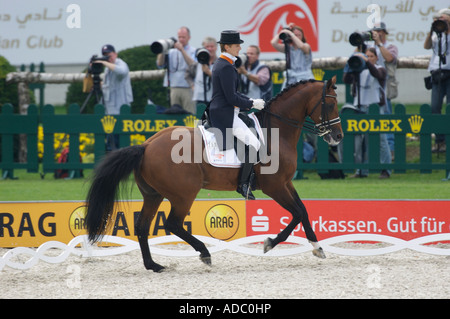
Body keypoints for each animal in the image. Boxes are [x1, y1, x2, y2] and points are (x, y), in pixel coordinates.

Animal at [86, 75, 342, 272]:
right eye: (330, 105)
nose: (337, 137)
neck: (276, 131)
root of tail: (146, 145)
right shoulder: (275, 186)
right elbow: (297, 213)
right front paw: (270, 243)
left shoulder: (286, 183)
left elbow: (304, 211)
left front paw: (318, 248)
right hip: (184, 194)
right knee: (173, 224)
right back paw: (204, 253)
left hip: (153, 194)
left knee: (142, 226)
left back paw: (154, 265)